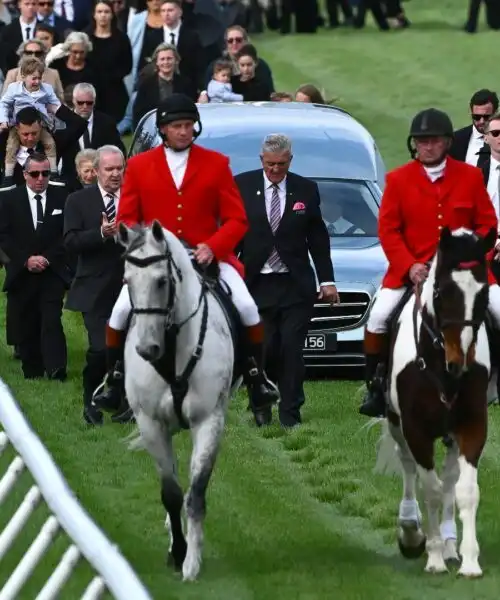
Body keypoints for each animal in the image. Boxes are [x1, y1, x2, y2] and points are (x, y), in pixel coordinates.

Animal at [117, 221, 242, 580]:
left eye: (162, 281)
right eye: (127, 281)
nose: (147, 350)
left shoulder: (209, 420)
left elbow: (195, 493)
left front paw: (192, 563)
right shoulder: (151, 423)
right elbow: (171, 493)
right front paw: (178, 550)